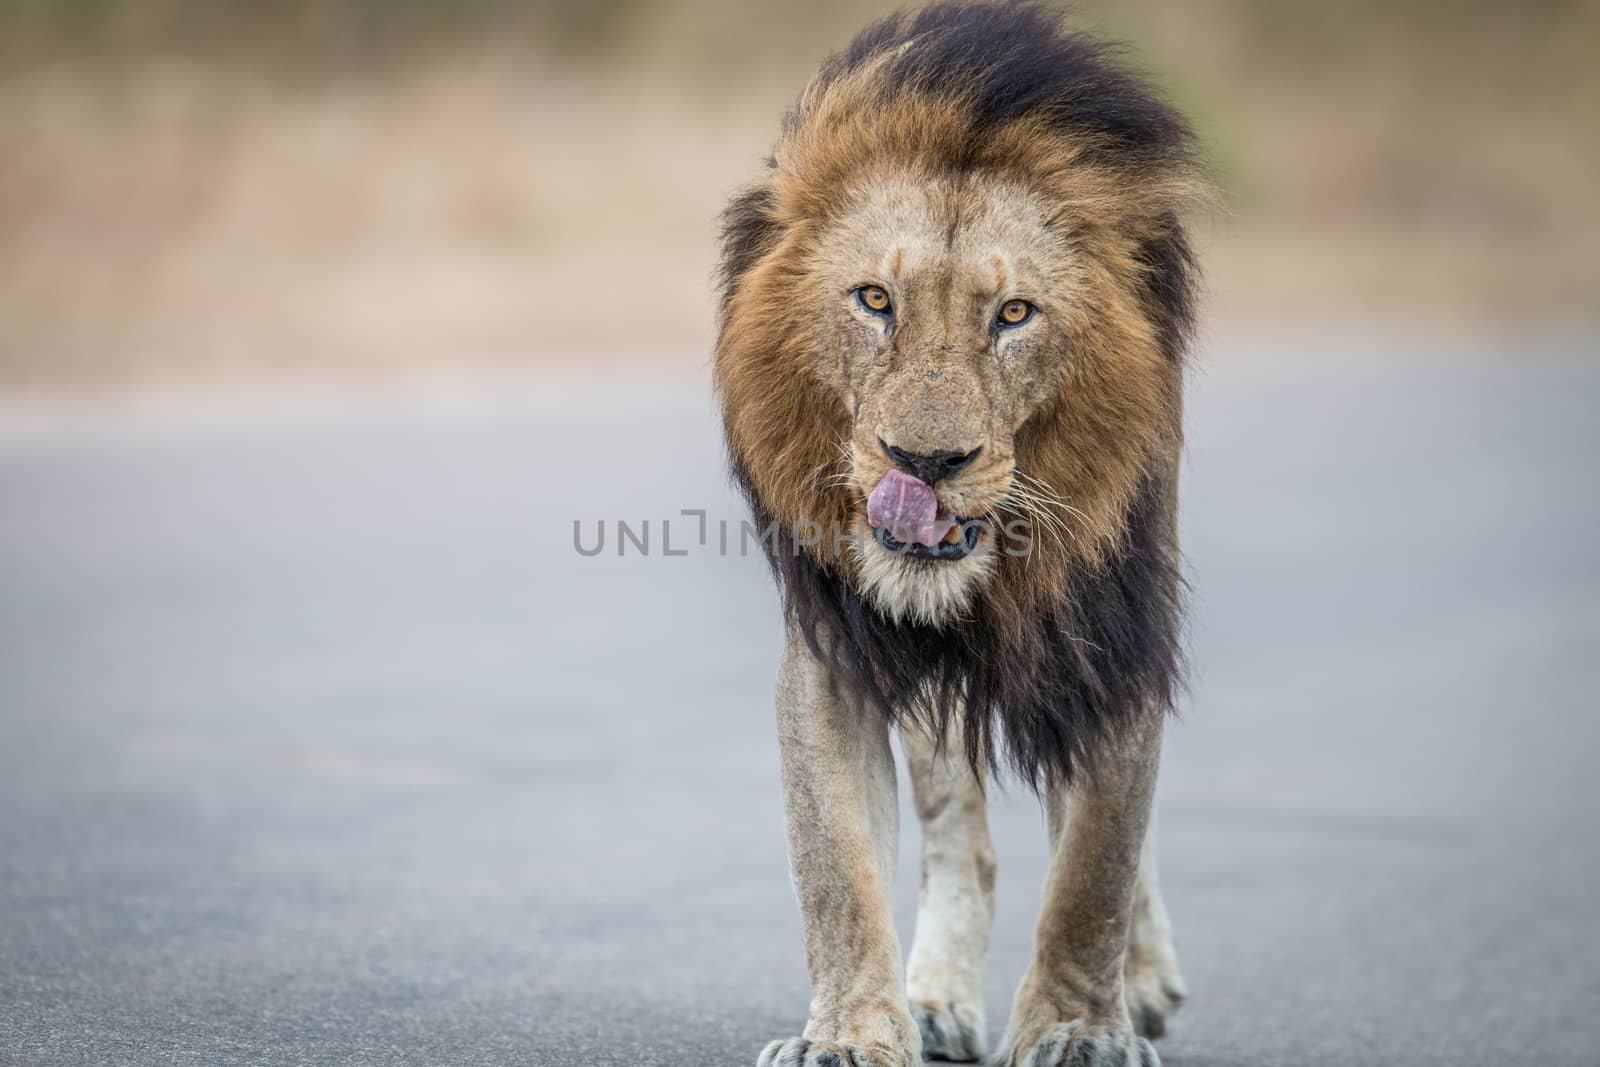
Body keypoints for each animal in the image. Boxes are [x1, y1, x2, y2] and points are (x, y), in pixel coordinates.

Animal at [713, 4, 1203, 1062]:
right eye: (874, 300)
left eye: (1013, 314)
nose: (923, 462)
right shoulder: (835, 645)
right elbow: (836, 867)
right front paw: (850, 1032)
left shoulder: (1113, 631)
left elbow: (1098, 863)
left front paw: (1078, 1027)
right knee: (958, 831)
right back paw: (936, 997)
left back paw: (1141, 976)